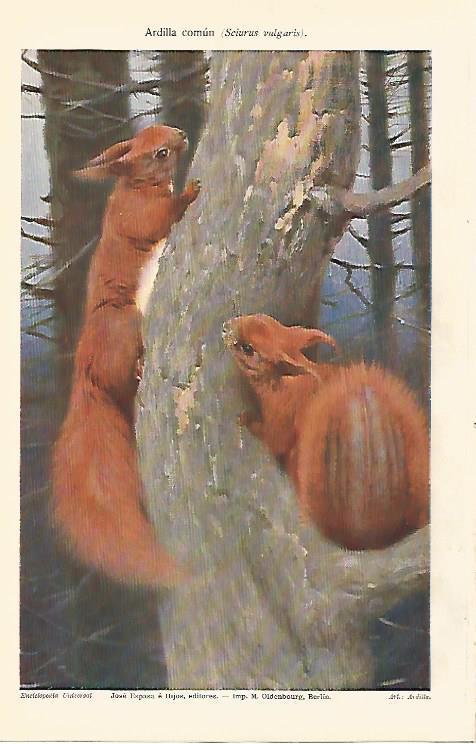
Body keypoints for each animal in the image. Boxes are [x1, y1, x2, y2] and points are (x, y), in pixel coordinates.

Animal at [52, 125, 200, 588]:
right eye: (160, 152)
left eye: (160, 134)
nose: (182, 134)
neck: (134, 186)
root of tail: (86, 374)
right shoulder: (137, 217)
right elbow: (159, 218)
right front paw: (189, 192)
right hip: (124, 323)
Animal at [223, 313, 429, 550]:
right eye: (261, 316)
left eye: (248, 348)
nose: (225, 327)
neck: (285, 382)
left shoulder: (280, 418)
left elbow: (273, 439)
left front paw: (246, 419)